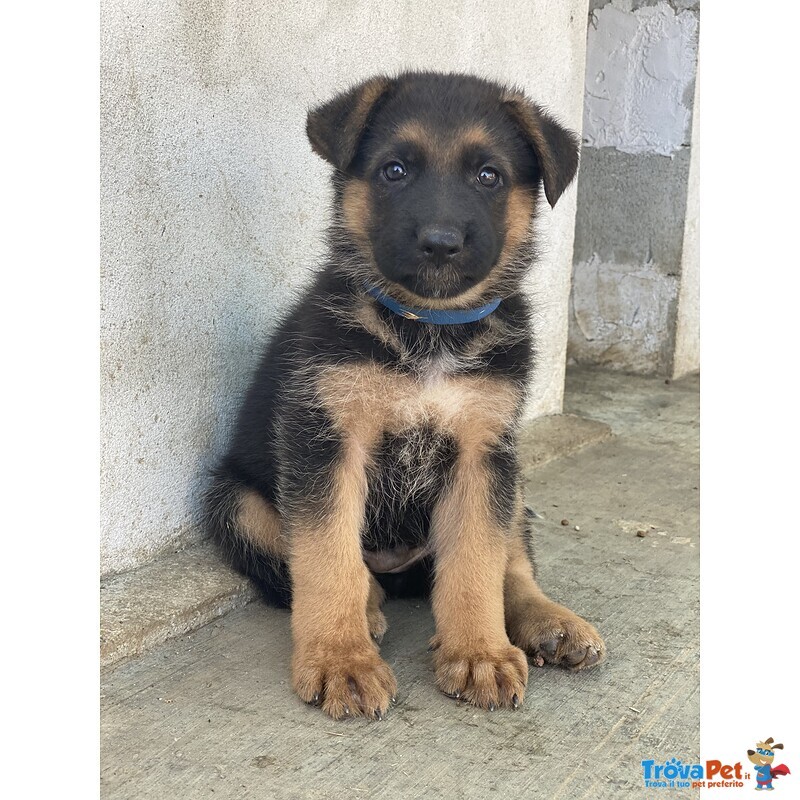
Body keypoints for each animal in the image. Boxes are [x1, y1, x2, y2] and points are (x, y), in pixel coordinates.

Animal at [206, 72, 608, 720]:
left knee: (513, 562)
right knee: (317, 566)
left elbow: (477, 562)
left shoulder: (482, 452)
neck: (429, 327)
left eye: (489, 175)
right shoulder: (325, 444)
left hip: (513, 479)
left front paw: (479, 653)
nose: (440, 243)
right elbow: (327, 559)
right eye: (394, 170)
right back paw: (368, 608)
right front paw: (340, 659)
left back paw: (550, 623)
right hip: (233, 503)